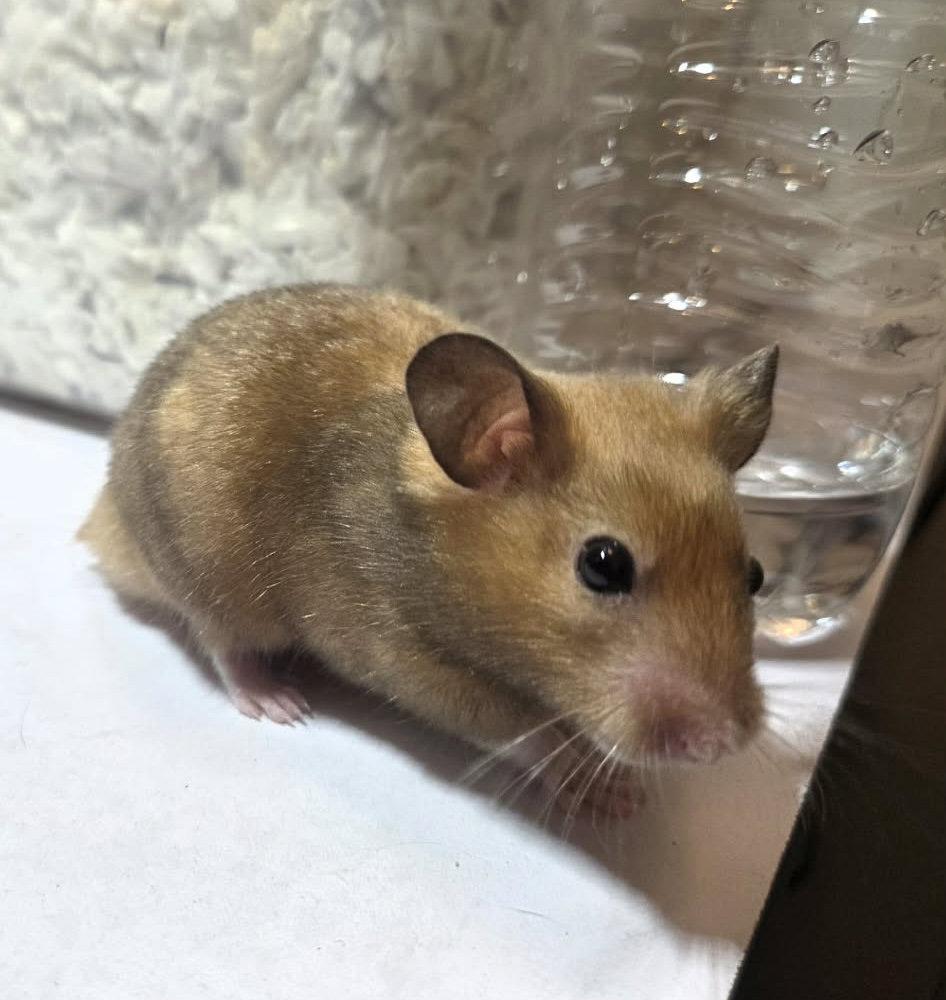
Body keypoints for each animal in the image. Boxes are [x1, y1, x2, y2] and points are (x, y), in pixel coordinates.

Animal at [80, 284, 777, 814]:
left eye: (755, 575)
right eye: (603, 565)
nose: (721, 746)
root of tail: (104, 518)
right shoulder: (401, 656)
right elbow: (516, 730)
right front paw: (608, 794)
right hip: (209, 575)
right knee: (222, 645)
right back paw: (282, 704)